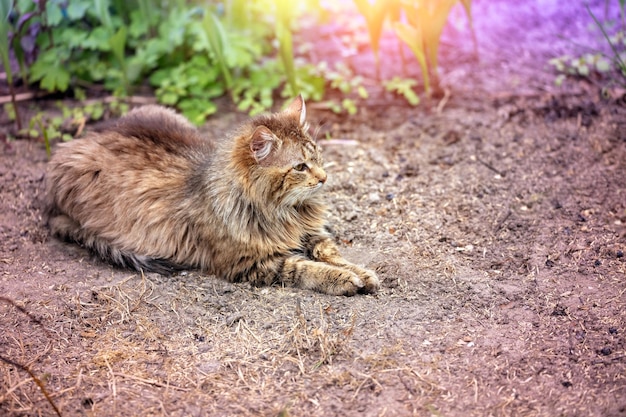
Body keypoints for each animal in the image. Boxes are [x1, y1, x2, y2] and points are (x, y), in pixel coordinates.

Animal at [46, 95, 378, 294]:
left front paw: (360, 272)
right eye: (300, 166)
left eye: (318, 156)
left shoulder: (311, 234)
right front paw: (343, 279)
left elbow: (329, 252)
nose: (324, 178)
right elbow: (305, 267)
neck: (284, 212)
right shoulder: (252, 264)